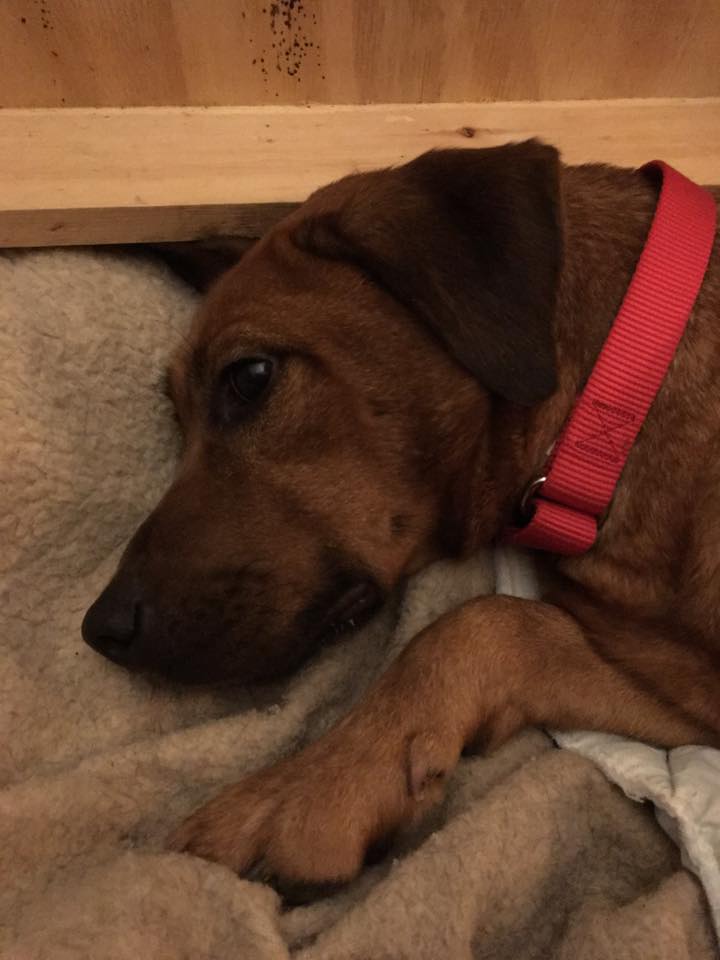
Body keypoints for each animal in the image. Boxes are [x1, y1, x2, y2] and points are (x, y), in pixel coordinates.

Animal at [82, 140, 720, 890]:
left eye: (250, 377)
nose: (100, 628)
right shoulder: (675, 682)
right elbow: (500, 621)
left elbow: (468, 622)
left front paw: (307, 789)